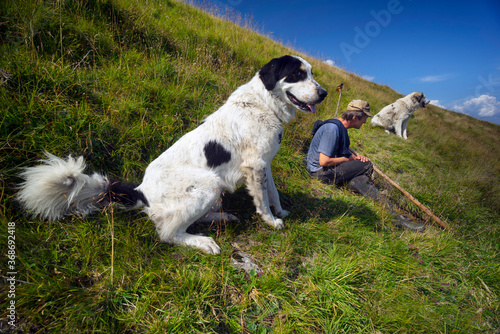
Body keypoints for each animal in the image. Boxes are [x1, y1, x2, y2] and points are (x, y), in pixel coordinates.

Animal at [17, 54, 328, 254]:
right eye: (298, 74)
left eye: (311, 73)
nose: (324, 93)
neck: (264, 104)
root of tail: (141, 190)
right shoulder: (255, 165)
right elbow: (262, 200)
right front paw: (271, 221)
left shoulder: (265, 164)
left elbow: (272, 192)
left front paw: (281, 212)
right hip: (207, 184)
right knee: (168, 232)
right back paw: (202, 242)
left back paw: (222, 218)